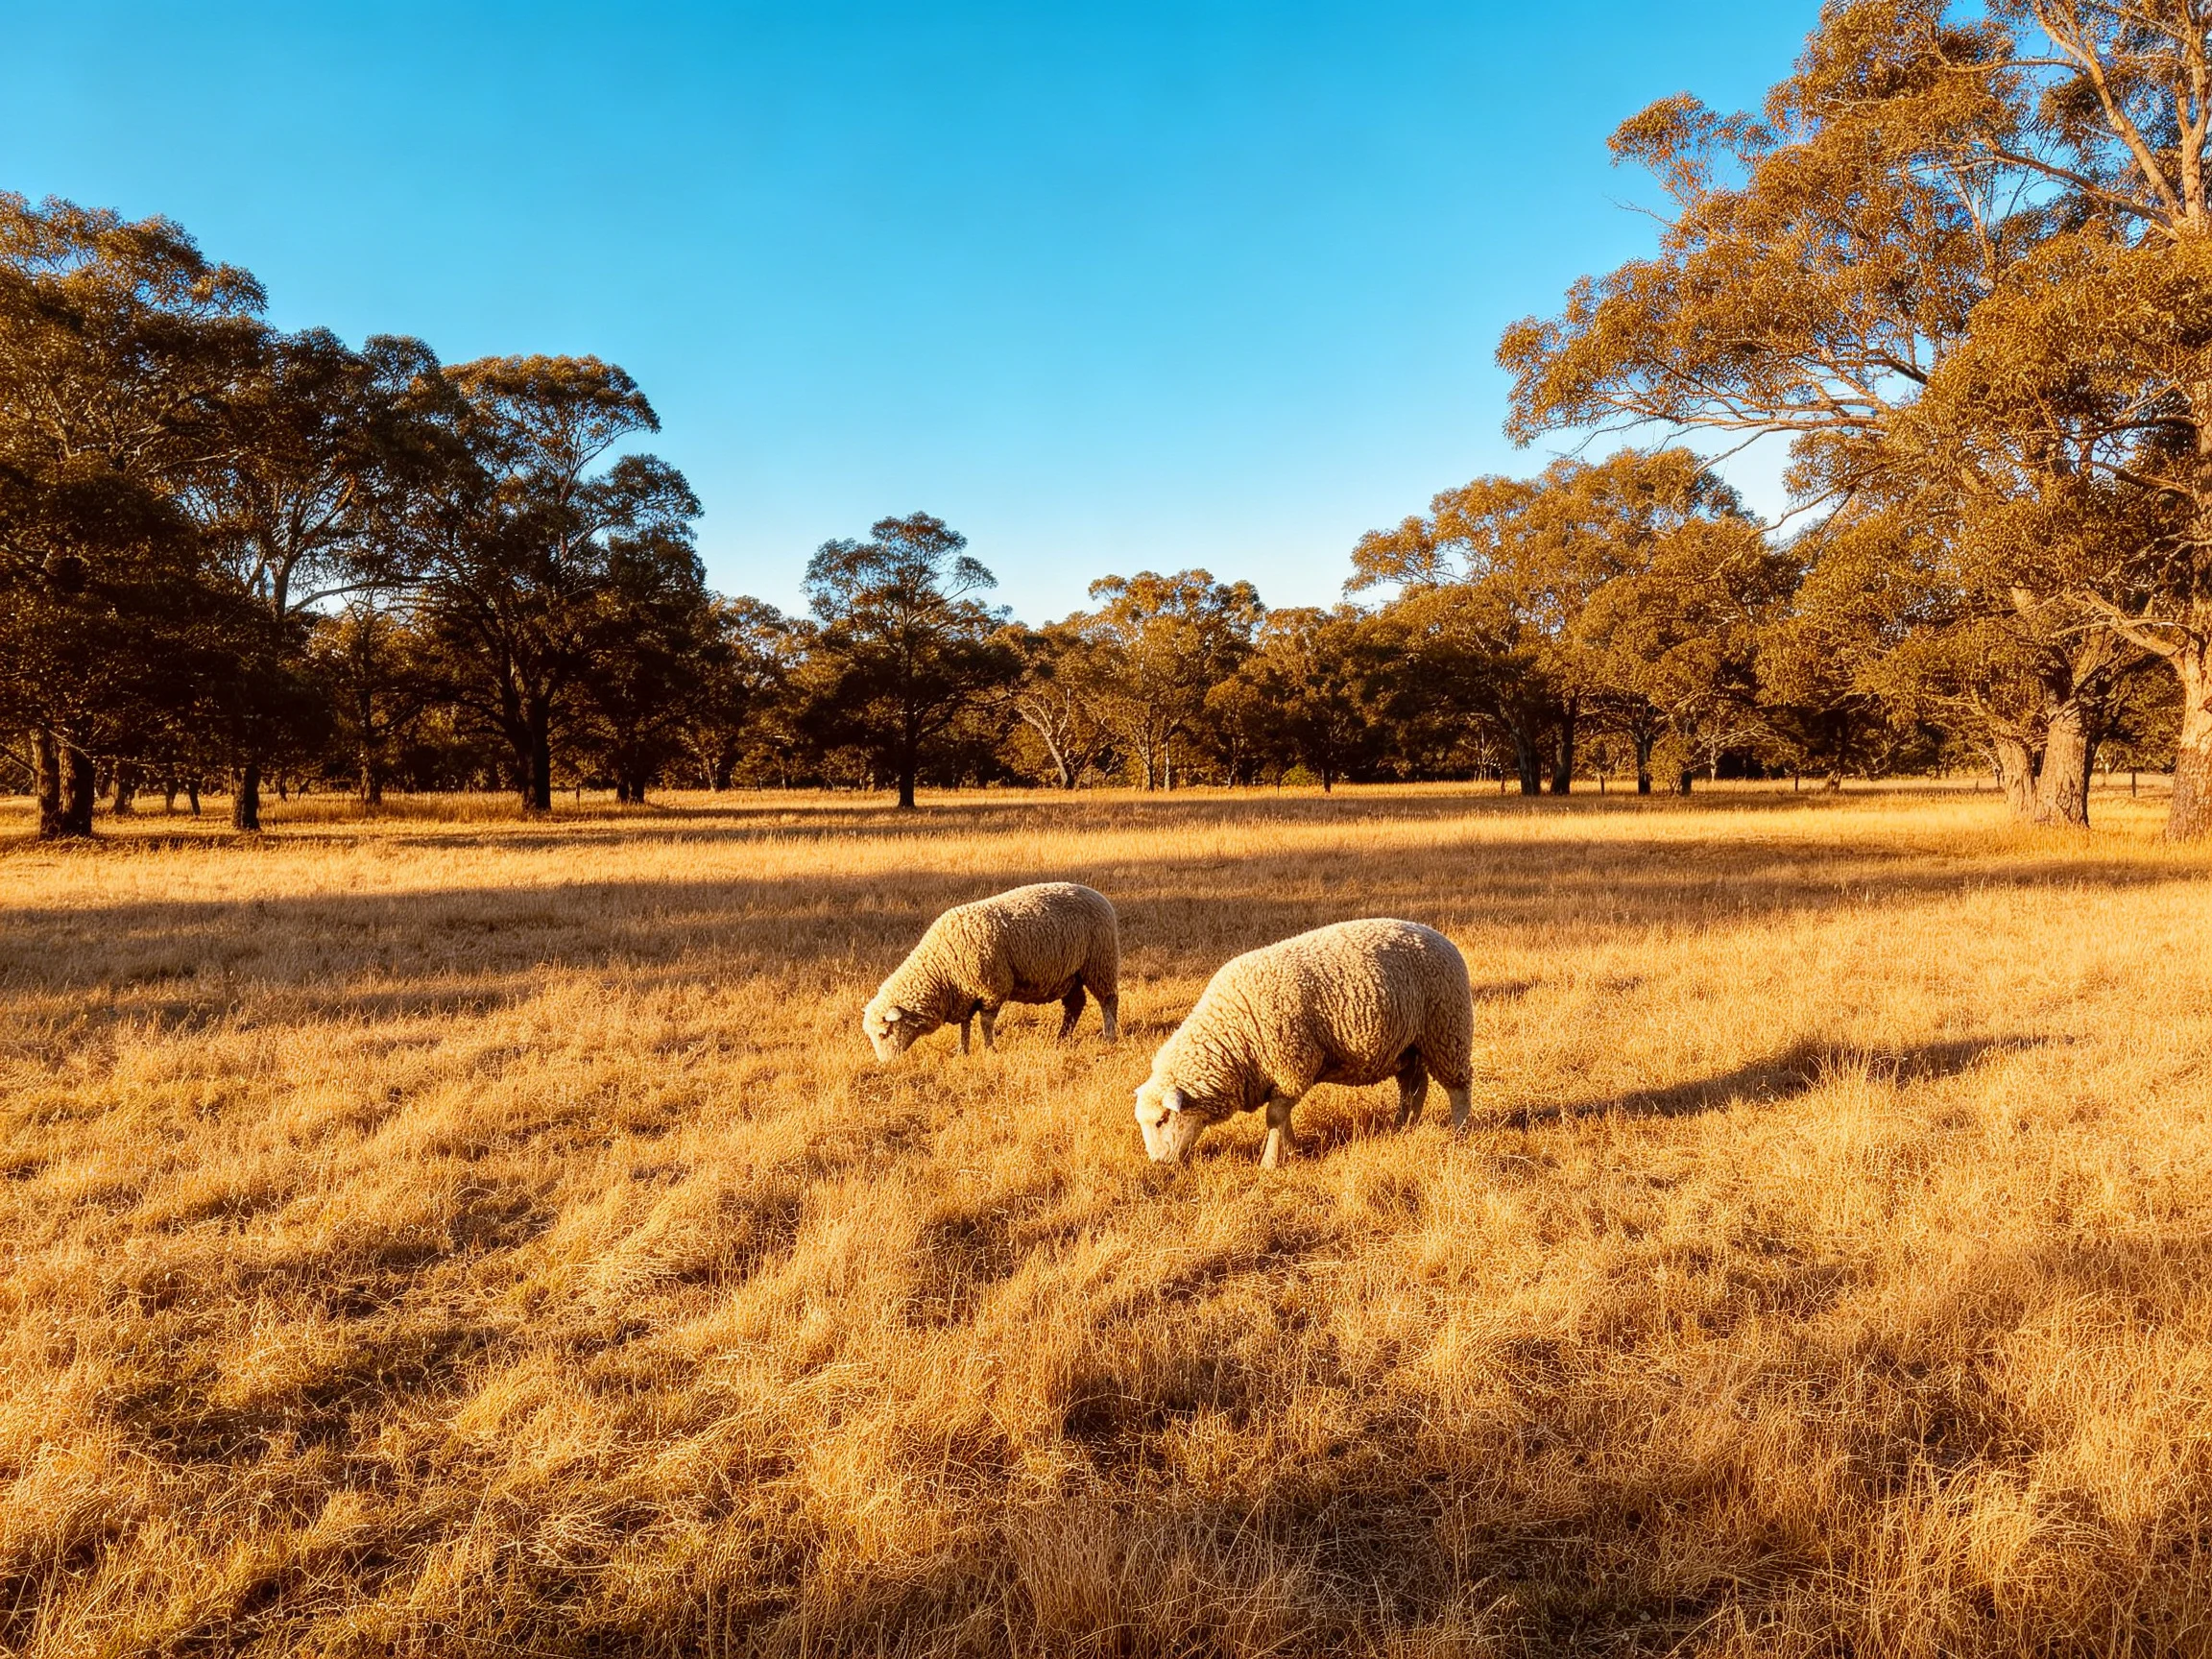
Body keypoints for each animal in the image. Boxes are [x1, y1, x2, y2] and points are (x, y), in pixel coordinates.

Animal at [863, 882, 1120, 1060]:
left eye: (884, 1033)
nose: (886, 1063)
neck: (941, 969)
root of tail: (1099, 896)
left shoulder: (993, 988)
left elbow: (985, 1023)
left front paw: (989, 1049)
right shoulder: (964, 994)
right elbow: (965, 1024)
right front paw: (962, 1050)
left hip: (1100, 963)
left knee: (1108, 1000)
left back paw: (1109, 1036)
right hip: (1071, 974)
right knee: (1075, 1005)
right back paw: (1062, 1038)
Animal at [1133, 918, 1473, 1168]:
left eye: (1162, 1120)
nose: (1158, 1163)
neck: (1232, 1034)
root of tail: (1438, 936)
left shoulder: (1292, 1066)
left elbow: (1274, 1116)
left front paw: (1270, 1163)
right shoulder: (1283, 1076)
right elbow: (1282, 1117)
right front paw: (1292, 1150)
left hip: (1447, 1030)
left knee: (1458, 1088)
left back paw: (1460, 1131)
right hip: (1407, 1044)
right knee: (1414, 1087)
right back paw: (1404, 1127)